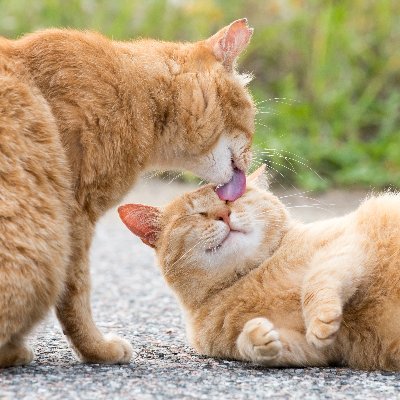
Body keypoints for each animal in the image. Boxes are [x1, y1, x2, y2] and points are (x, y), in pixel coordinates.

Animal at [0, 20, 255, 368]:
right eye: (253, 117)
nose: (253, 154)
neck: (138, 94)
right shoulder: (77, 219)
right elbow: (77, 296)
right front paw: (96, 350)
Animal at [120, 168, 400, 368]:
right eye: (196, 213)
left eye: (235, 197)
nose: (223, 213)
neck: (251, 275)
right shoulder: (323, 352)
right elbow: (256, 346)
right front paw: (257, 337)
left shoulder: (347, 241)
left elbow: (317, 281)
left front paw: (319, 317)